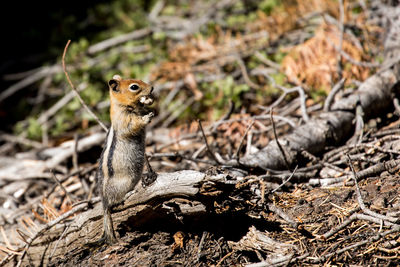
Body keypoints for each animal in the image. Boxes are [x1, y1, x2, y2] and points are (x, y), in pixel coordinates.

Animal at [95, 74, 155, 245]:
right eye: (134, 87)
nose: (152, 88)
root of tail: (104, 201)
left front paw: (148, 103)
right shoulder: (125, 120)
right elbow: (134, 125)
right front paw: (147, 117)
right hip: (125, 183)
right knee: (116, 203)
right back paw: (128, 194)